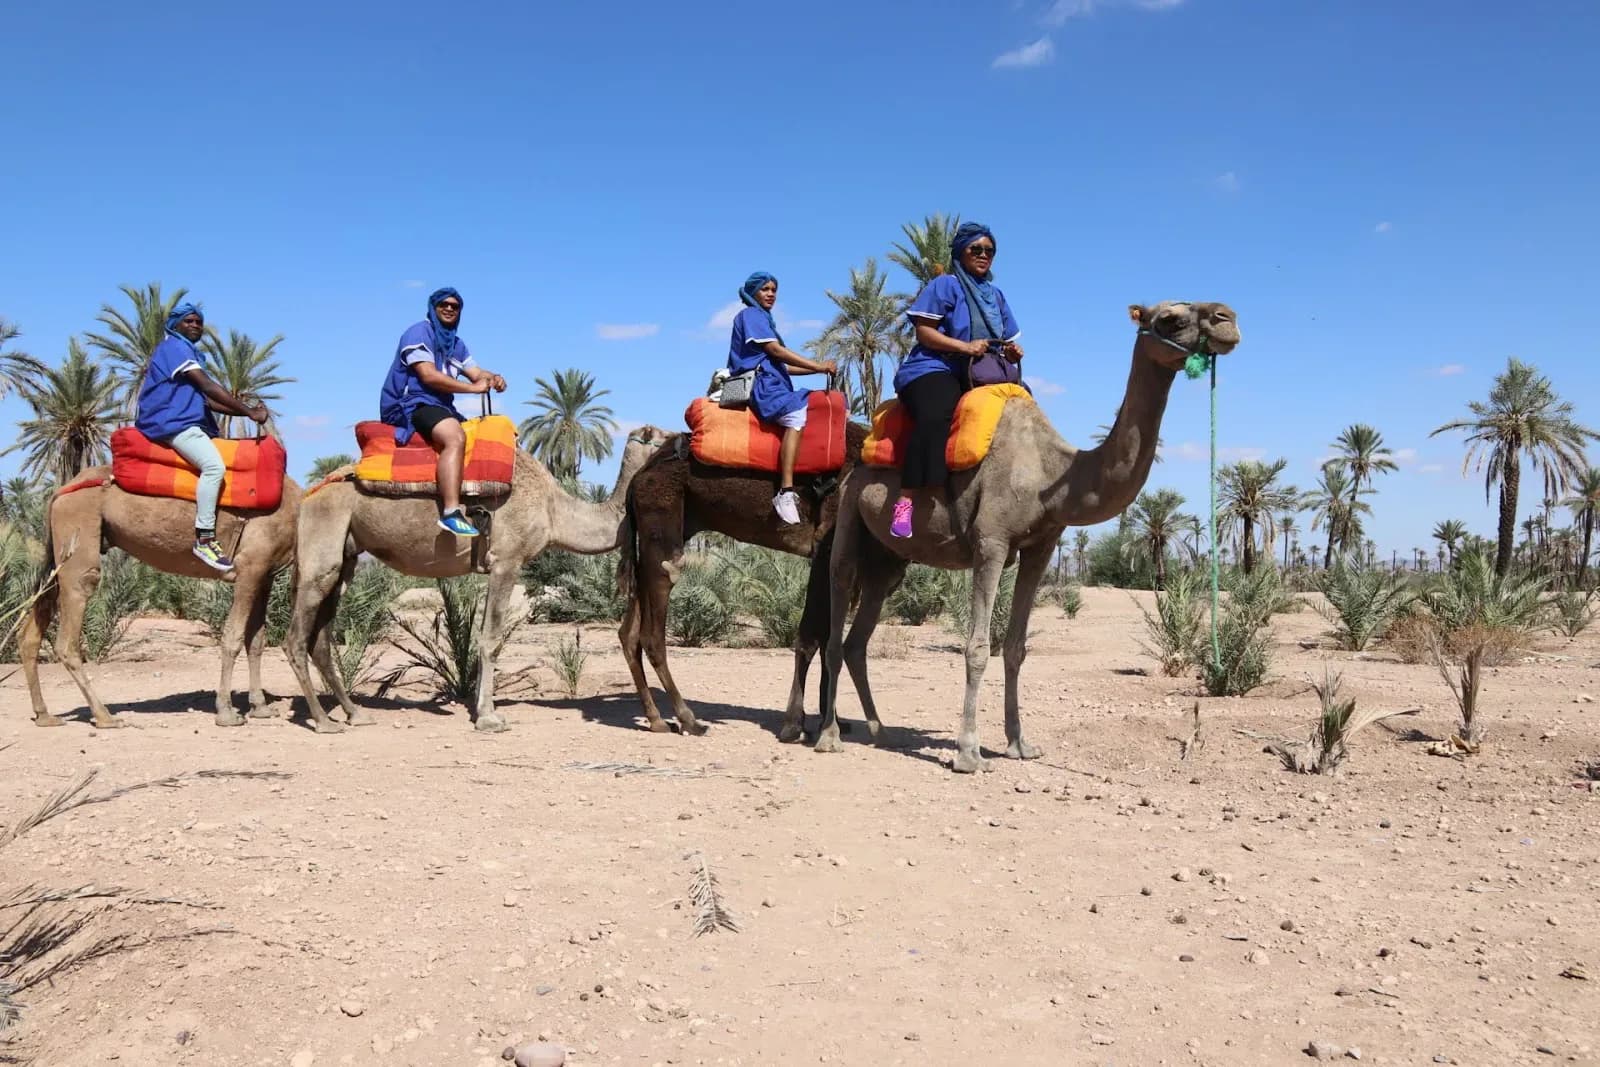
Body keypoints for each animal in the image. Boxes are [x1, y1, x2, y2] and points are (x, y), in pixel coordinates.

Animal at [18, 476, 300, 728]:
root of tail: (59, 492)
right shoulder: (250, 565)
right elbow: (233, 637)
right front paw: (227, 712)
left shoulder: (265, 573)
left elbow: (257, 641)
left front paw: (261, 707)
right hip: (78, 530)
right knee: (70, 629)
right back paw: (105, 717)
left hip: (59, 552)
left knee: (32, 630)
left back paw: (44, 715)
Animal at [283, 429, 664, 733]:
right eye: (667, 440)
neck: (554, 511)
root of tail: (311, 492)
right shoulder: (507, 561)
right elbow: (492, 639)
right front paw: (489, 718)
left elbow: (484, 635)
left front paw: (483, 709)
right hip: (323, 542)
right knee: (296, 638)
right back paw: (323, 721)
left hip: (345, 559)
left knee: (321, 638)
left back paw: (354, 713)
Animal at [617, 420, 868, 736]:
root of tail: (638, 478)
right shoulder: (826, 545)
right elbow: (814, 636)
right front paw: (797, 724)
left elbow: (826, 637)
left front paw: (832, 721)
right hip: (661, 514)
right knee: (654, 622)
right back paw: (688, 719)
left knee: (629, 632)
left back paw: (656, 719)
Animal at [816, 301, 1241, 772]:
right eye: (1170, 318)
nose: (1227, 319)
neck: (1049, 475)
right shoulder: (991, 543)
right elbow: (977, 648)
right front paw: (969, 753)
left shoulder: (1041, 547)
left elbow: (1016, 648)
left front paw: (1020, 744)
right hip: (850, 509)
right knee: (835, 617)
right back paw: (829, 736)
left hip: (888, 559)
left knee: (858, 638)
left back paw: (880, 731)